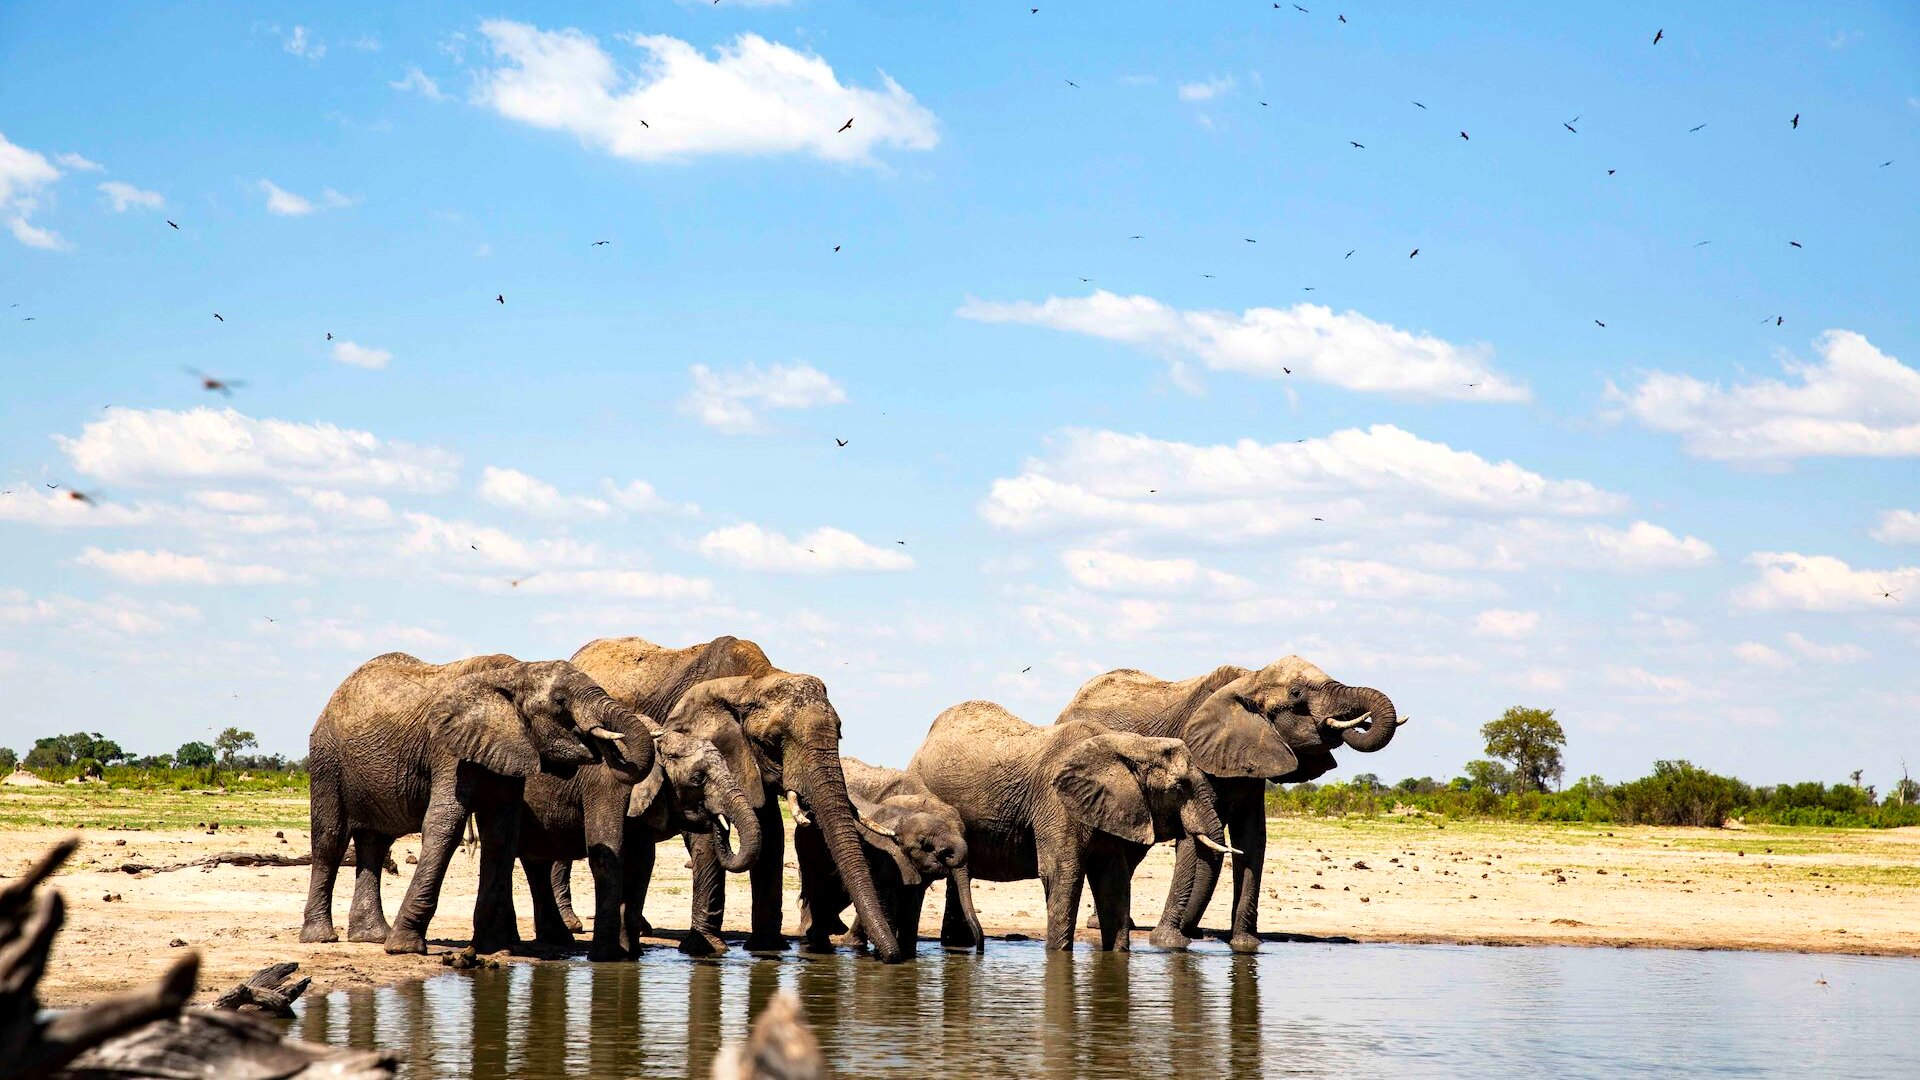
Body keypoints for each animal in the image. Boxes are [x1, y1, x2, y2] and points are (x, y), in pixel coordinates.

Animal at [301, 653, 649, 955]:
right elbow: (446, 824)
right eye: (560, 701)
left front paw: (493, 947)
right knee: (331, 839)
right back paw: (321, 938)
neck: (513, 673)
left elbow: (502, 835)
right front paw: (404, 947)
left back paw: (372, 937)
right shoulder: (448, 748)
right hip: (326, 759)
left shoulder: (510, 749)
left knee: (375, 842)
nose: (602, 743)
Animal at [561, 636, 910, 963]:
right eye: (774, 741)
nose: (890, 957)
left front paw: (768, 948)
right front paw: (707, 949)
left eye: (839, 734)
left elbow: (771, 833)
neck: (752, 681)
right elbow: (707, 837)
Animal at [794, 757, 982, 955]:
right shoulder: (883, 858)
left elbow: (912, 905)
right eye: (924, 842)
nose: (979, 951)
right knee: (819, 887)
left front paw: (908, 955)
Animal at [906, 701, 1233, 952]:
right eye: (1179, 787)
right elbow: (1063, 874)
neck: (1127, 743)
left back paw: (958, 945)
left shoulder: (1108, 807)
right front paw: (1059, 956)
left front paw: (1117, 955)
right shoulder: (1056, 802)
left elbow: (1113, 879)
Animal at [1056, 656, 1404, 952]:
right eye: (1296, 694)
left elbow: (1252, 839)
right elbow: (1195, 841)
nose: (1360, 721)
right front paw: (1169, 942)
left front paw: (1246, 946)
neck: (1250, 680)